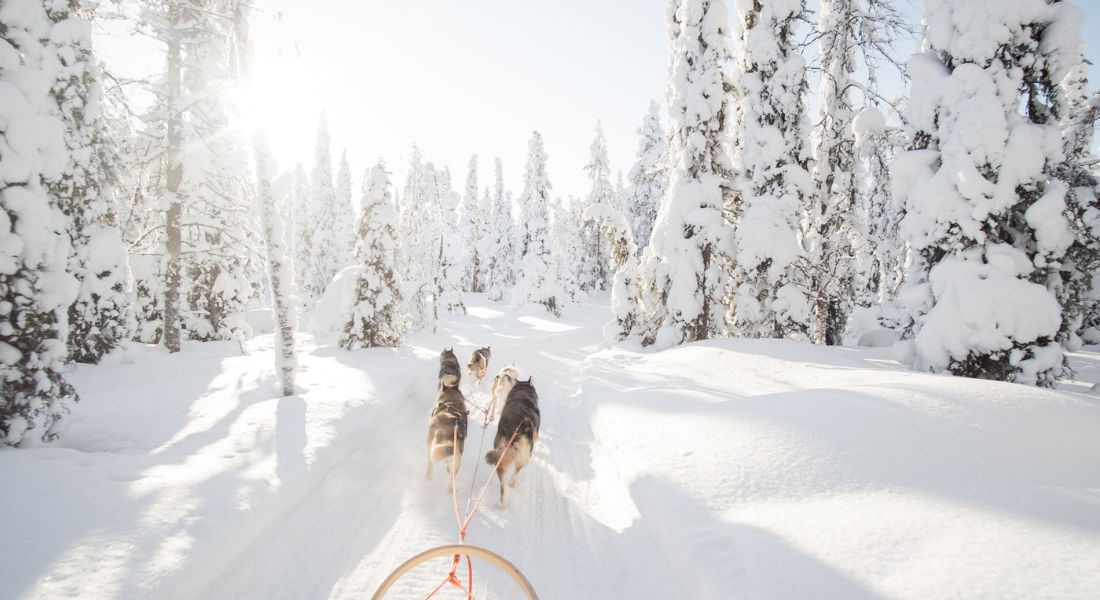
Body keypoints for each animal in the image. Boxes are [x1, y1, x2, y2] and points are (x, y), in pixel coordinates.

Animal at [488, 376, 543, 508]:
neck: (523, 391)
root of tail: (520, 430)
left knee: (503, 482)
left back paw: (502, 502)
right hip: (522, 457)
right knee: (516, 472)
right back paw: (513, 483)